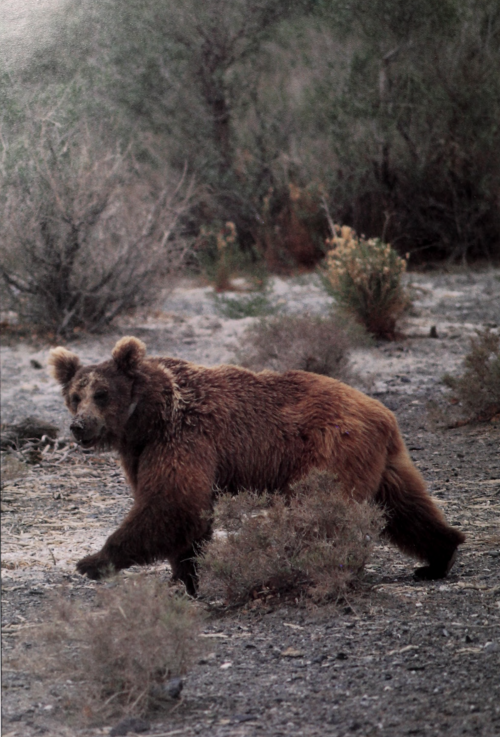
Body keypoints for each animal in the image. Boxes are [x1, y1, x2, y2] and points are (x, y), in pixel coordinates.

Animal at [48, 336, 466, 596]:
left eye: (102, 393)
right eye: (75, 395)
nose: (79, 426)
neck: (146, 419)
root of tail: (382, 412)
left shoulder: (184, 438)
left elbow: (173, 504)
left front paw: (93, 560)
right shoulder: (144, 452)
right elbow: (184, 518)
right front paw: (184, 580)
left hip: (331, 449)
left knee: (325, 509)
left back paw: (316, 566)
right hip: (383, 461)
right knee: (406, 507)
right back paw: (439, 556)